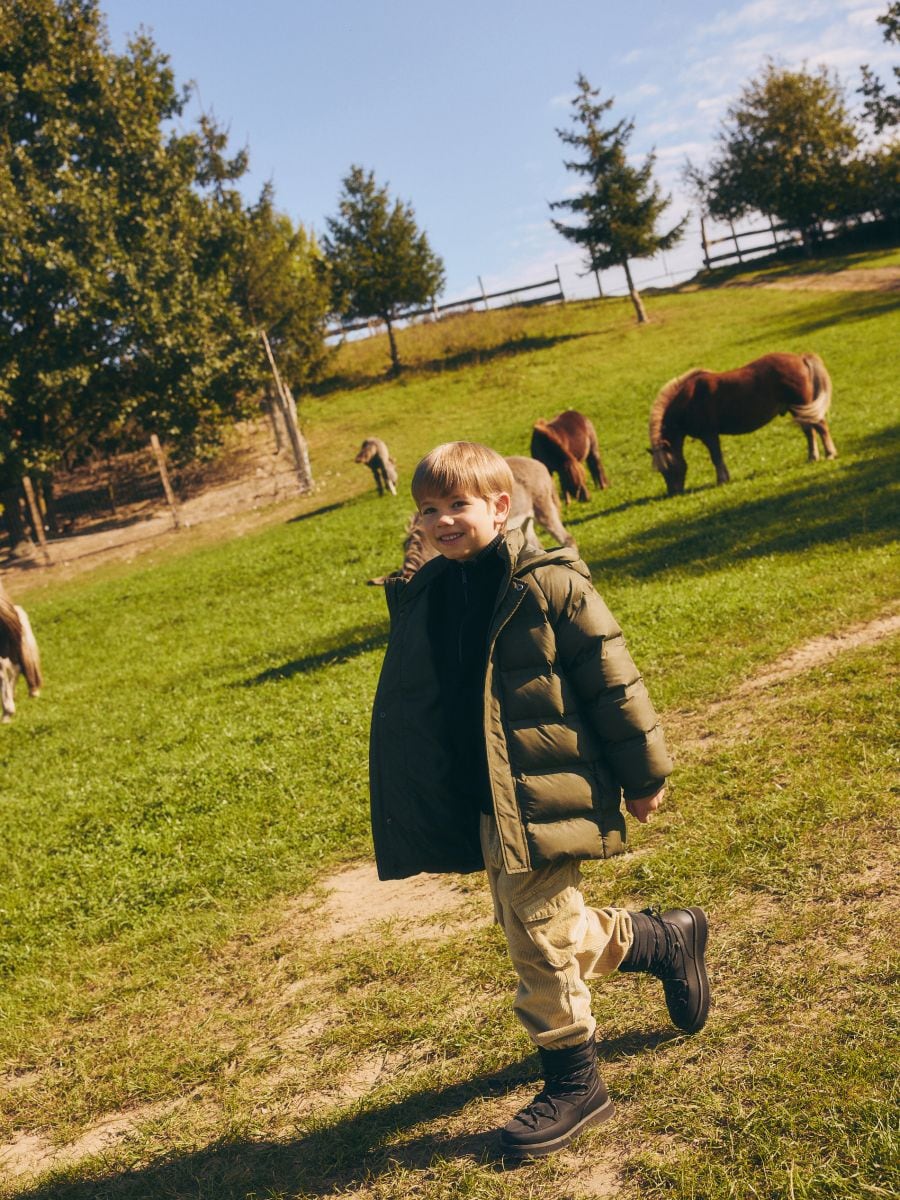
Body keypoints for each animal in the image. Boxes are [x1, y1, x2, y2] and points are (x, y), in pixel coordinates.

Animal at [648, 350, 840, 496]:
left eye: (669, 466)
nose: (673, 493)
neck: (689, 399)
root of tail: (800, 358)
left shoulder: (709, 435)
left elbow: (716, 457)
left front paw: (722, 480)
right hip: (798, 409)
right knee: (810, 432)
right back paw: (812, 458)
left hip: (803, 406)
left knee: (820, 427)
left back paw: (830, 454)